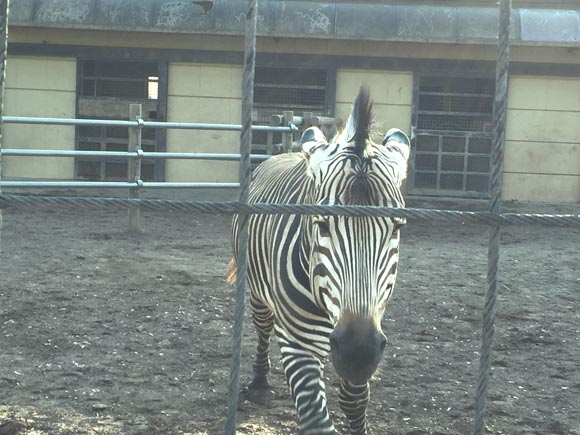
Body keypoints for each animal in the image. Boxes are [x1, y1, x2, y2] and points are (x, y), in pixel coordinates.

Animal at [229, 87, 410, 434]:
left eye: (396, 228)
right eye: (322, 225)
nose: (357, 352)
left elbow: (355, 401)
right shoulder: (298, 340)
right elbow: (316, 418)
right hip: (257, 290)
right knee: (262, 329)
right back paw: (259, 384)